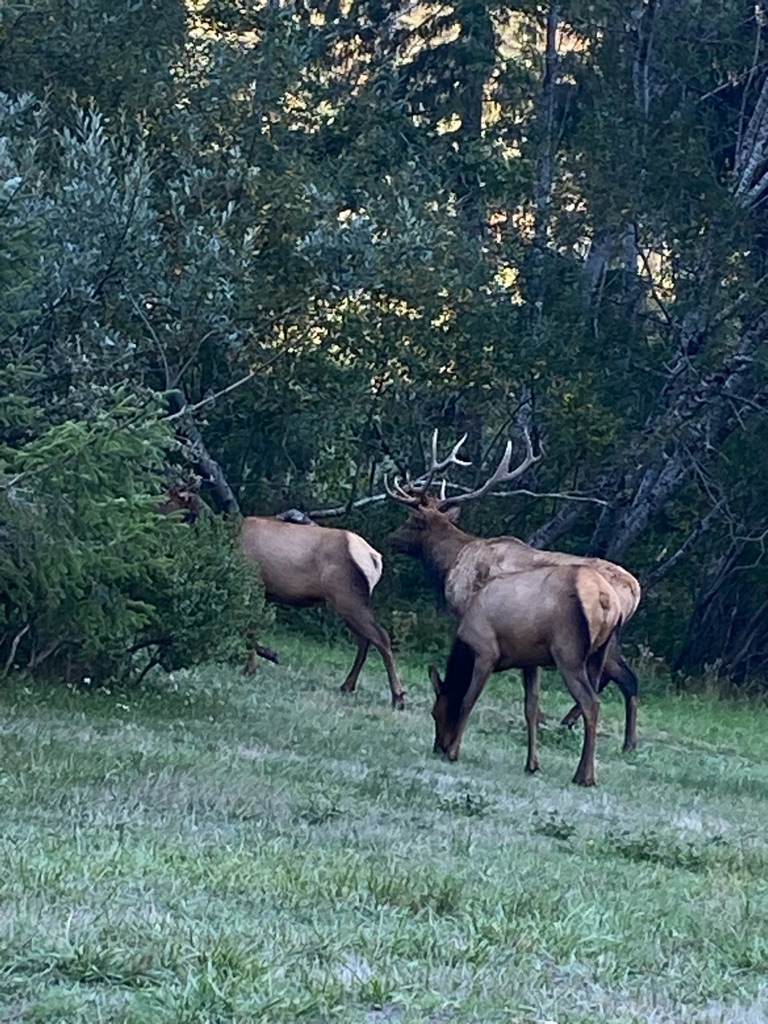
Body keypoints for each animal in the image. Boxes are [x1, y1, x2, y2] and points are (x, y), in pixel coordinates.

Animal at [385, 430, 640, 749]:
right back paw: (610, 737)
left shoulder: (467, 611)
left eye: (410, 522)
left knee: (625, 680)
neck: (450, 563)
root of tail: (634, 591)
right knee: (620, 679)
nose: (390, 538)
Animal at [429, 565, 624, 785]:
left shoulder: (486, 653)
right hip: (598, 656)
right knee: (592, 701)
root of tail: (606, 598)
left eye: (435, 713)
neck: (465, 649)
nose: (438, 748)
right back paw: (583, 773)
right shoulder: (530, 662)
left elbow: (468, 700)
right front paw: (532, 765)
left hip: (568, 654)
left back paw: (585, 777)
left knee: (590, 702)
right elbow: (531, 710)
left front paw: (453, 752)